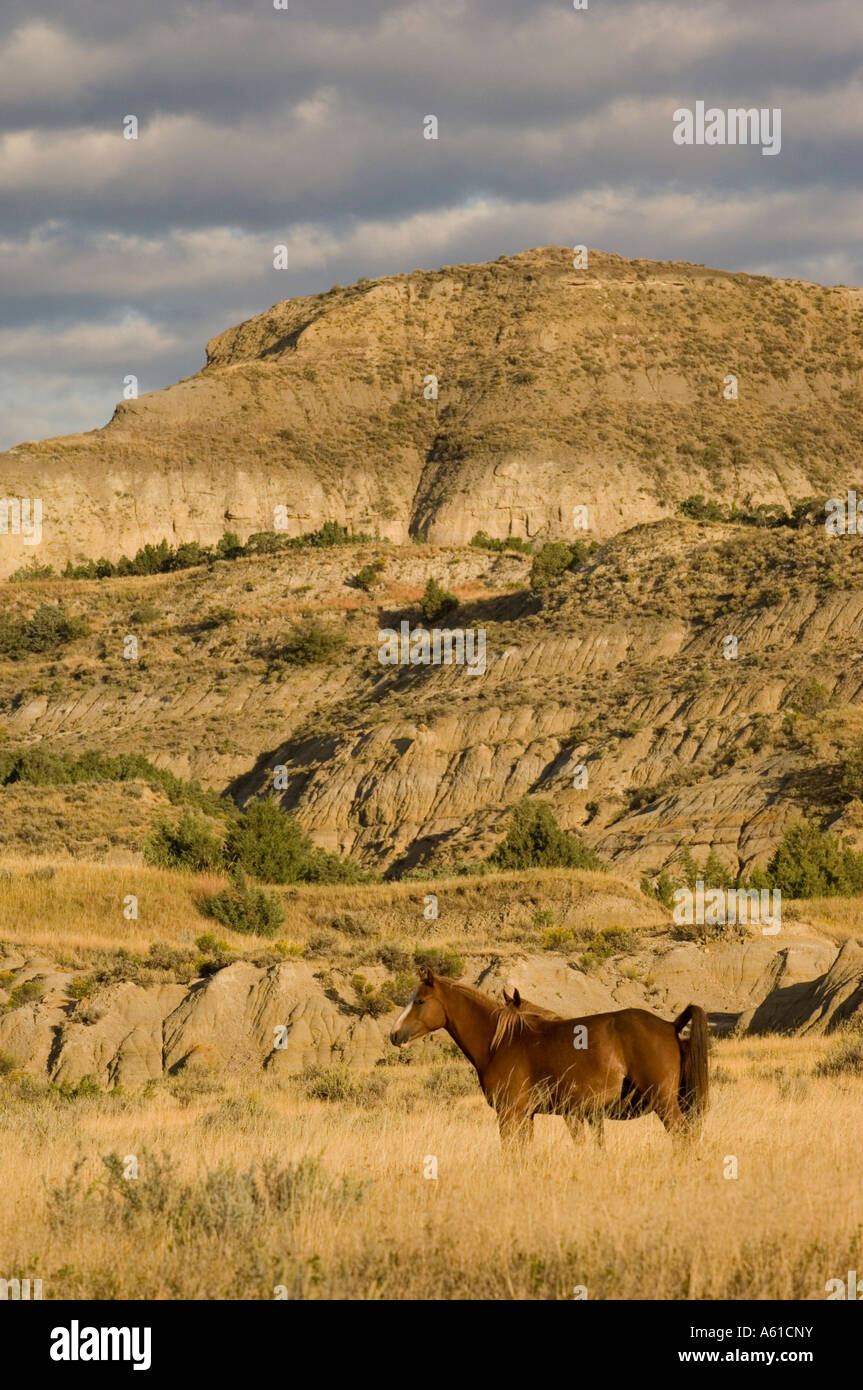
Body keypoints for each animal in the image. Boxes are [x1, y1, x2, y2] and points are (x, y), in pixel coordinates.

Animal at [390, 970, 709, 1150]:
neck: (501, 1042)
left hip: (664, 1104)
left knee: (684, 1138)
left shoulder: (509, 1114)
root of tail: (669, 1025)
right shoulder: (527, 1116)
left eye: (419, 1001)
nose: (394, 1034)